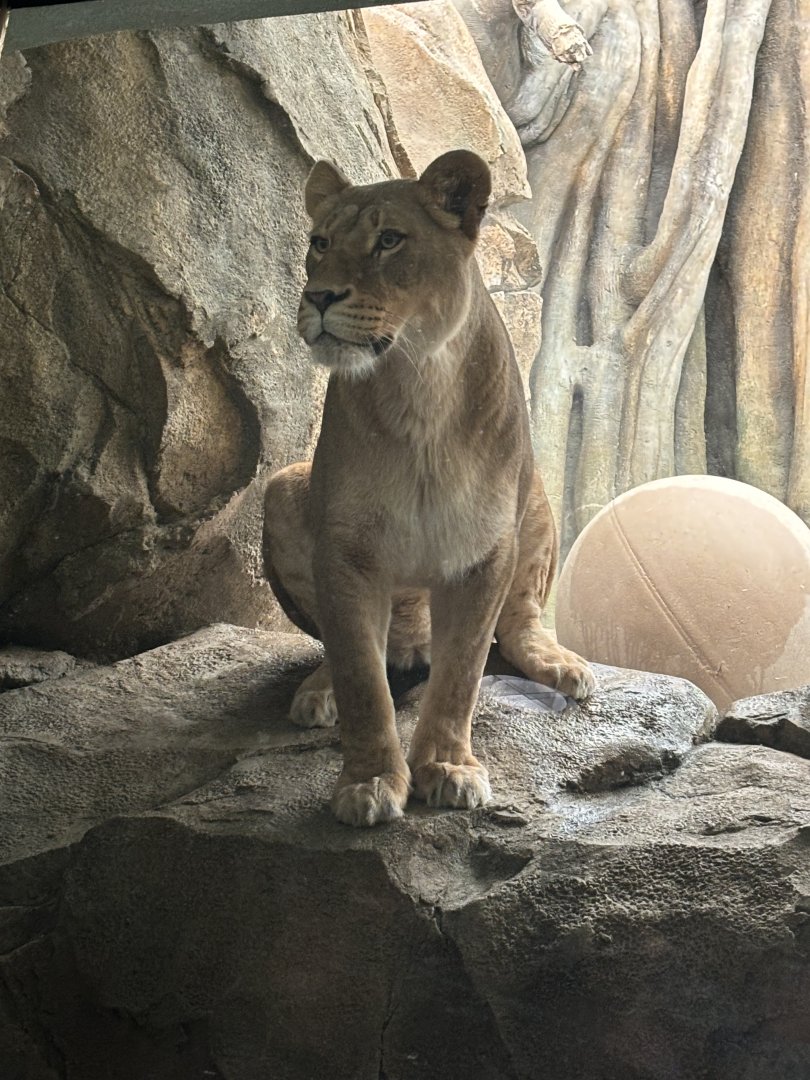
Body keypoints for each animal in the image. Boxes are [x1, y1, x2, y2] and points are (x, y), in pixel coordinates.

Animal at [263, 149, 594, 827]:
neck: (415, 382)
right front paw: (369, 781)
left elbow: (462, 670)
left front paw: (446, 767)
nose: (318, 296)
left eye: (390, 240)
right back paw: (318, 689)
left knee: (518, 621)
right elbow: (361, 676)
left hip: (537, 501)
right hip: (283, 488)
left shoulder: (485, 551)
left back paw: (560, 664)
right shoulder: (346, 550)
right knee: (353, 649)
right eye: (319, 243)